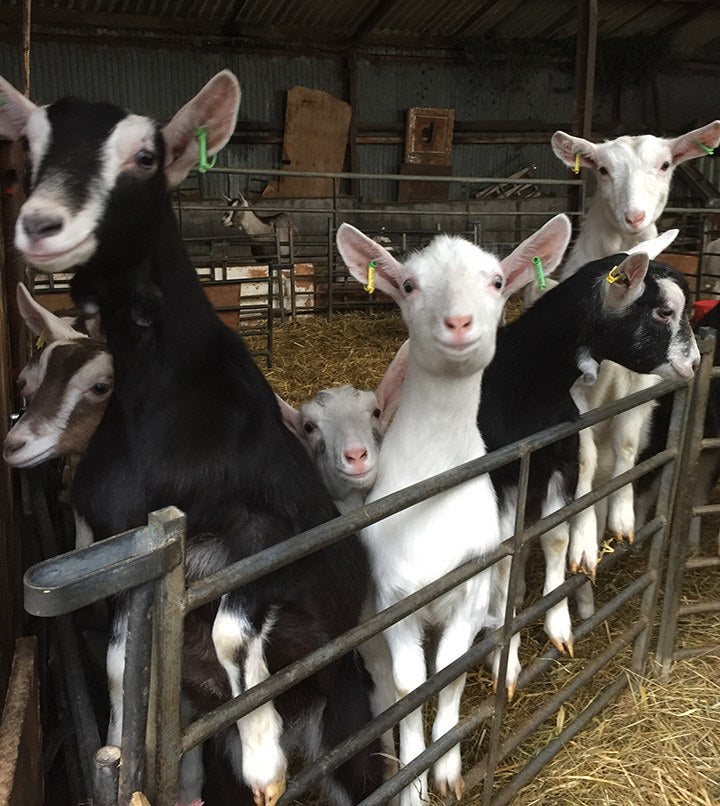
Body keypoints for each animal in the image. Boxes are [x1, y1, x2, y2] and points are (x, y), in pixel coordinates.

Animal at [0, 71, 383, 806]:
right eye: (29, 146)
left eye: (145, 156)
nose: (39, 225)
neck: (167, 398)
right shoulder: (122, 552)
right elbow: (121, 664)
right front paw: (119, 753)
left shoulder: (271, 533)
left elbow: (232, 629)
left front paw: (264, 762)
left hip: (348, 715)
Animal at [337, 215, 570, 805]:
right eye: (409, 284)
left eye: (496, 281)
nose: (459, 322)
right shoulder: (394, 598)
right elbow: (410, 686)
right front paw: (413, 781)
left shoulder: (469, 586)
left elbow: (451, 673)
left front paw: (446, 769)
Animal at [481, 231, 701, 696]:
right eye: (663, 311)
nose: (693, 364)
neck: (528, 384)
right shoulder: (503, 478)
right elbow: (505, 560)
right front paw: (505, 662)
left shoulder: (562, 463)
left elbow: (556, 539)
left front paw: (559, 625)